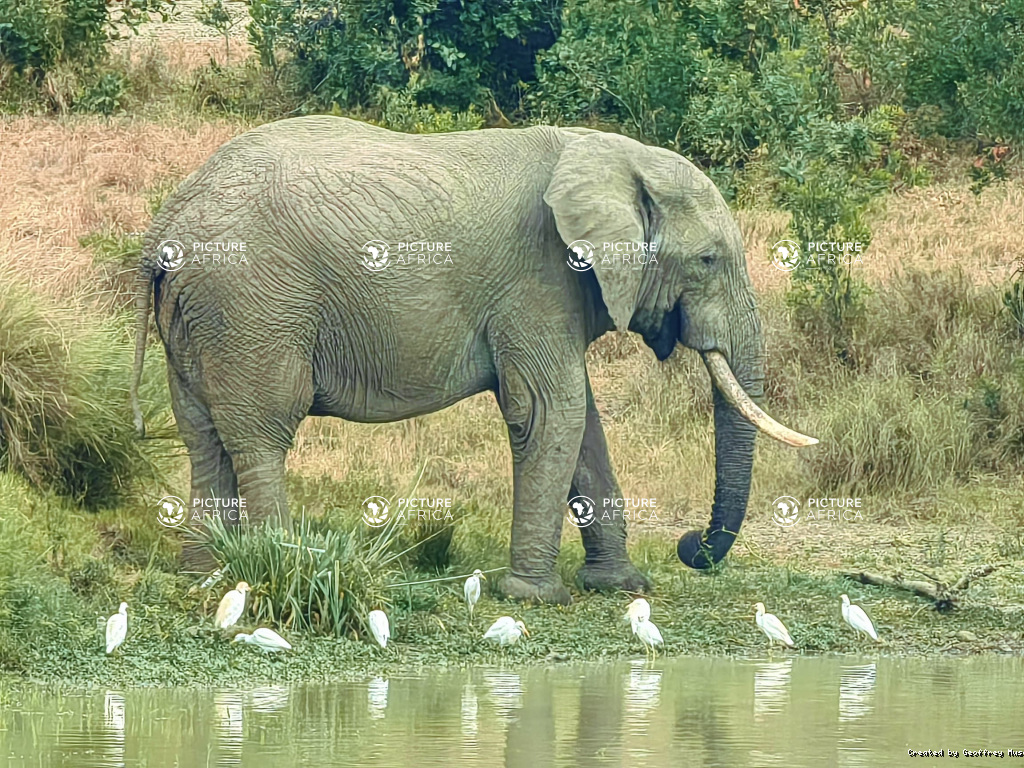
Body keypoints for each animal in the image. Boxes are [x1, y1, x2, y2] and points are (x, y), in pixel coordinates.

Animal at [130, 116, 815, 604]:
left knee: (203, 434)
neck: (610, 155)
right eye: (707, 260)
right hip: (253, 307)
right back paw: (281, 565)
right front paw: (535, 597)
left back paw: (203, 573)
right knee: (261, 433)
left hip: (201, 316)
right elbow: (550, 413)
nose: (690, 545)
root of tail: (168, 218)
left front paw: (622, 588)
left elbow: (582, 423)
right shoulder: (538, 280)